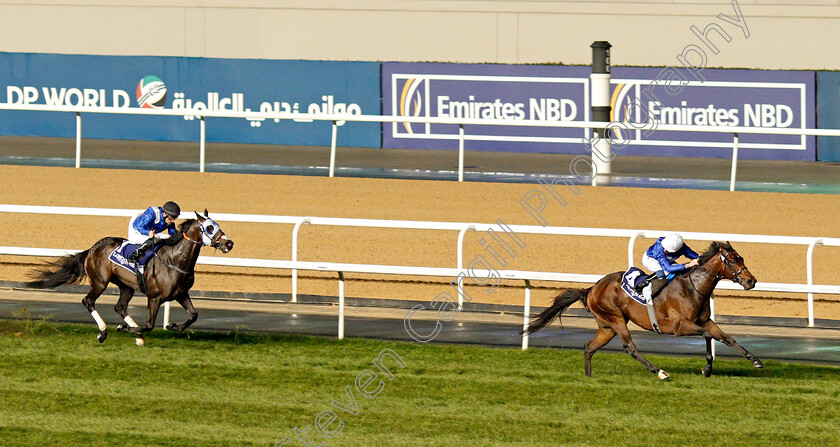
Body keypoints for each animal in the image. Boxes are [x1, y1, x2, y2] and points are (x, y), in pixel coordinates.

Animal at [25, 211, 233, 346]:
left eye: (219, 225)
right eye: (209, 227)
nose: (229, 243)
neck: (174, 261)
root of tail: (93, 248)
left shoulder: (181, 294)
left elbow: (193, 315)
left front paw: (172, 325)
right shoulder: (154, 297)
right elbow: (149, 325)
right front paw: (122, 328)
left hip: (127, 286)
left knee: (120, 307)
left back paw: (137, 337)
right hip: (100, 282)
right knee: (88, 301)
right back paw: (103, 332)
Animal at [528, 243, 764, 380]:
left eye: (742, 258)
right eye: (732, 260)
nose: (751, 281)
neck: (692, 288)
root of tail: (591, 289)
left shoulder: (705, 320)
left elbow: (725, 337)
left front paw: (755, 360)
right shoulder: (679, 326)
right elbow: (709, 336)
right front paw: (707, 368)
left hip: (607, 326)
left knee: (589, 347)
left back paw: (588, 377)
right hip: (616, 319)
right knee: (629, 348)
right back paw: (659, 371)